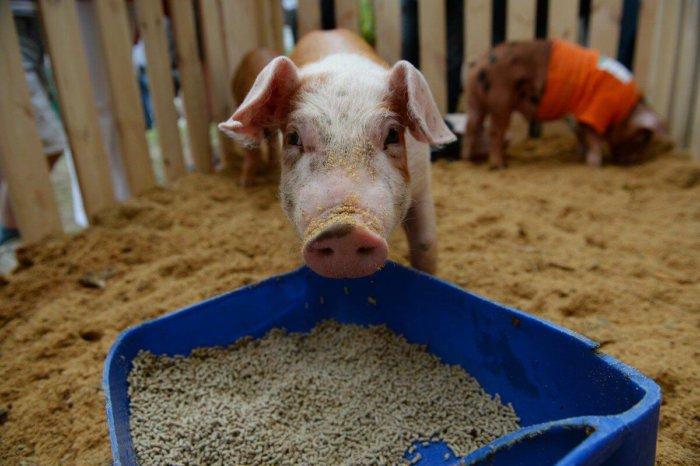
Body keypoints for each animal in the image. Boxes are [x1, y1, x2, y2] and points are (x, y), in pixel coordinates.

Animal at [461, 39, 666, 168]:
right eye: (642, 137)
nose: (632, 163)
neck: (623, 110)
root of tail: (477, 63)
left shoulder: (578, 116)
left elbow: (581, 135)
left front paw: (580, 156)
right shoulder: (594, 112)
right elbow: (594, 140)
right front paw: (595, 165)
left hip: (474, 102)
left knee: (472, 127)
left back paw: (469, 159)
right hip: (500, 102)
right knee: (494, 132)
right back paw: (500, 165)